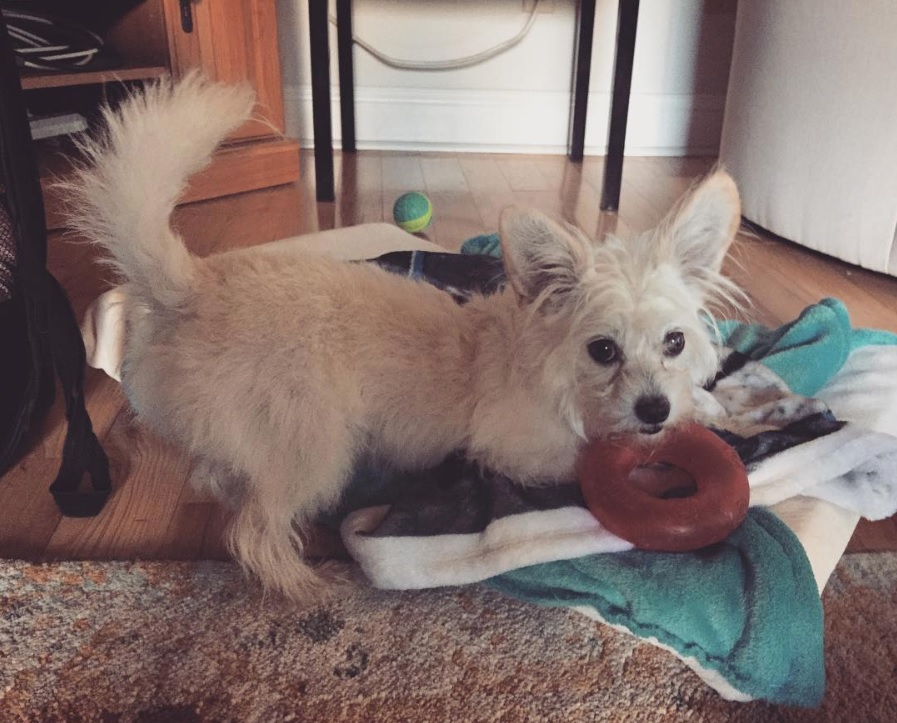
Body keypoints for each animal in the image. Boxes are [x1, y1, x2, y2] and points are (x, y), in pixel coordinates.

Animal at [65, 75, 744, 604]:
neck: (544, 367)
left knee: (219, 480)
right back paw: (308, 587)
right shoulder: (526, 456)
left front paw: (713, 409)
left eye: (675, 343)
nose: (654, 410)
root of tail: (190, 284)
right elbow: (585, 459)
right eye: (602, 350)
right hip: (317, 450)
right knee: (254, 531)